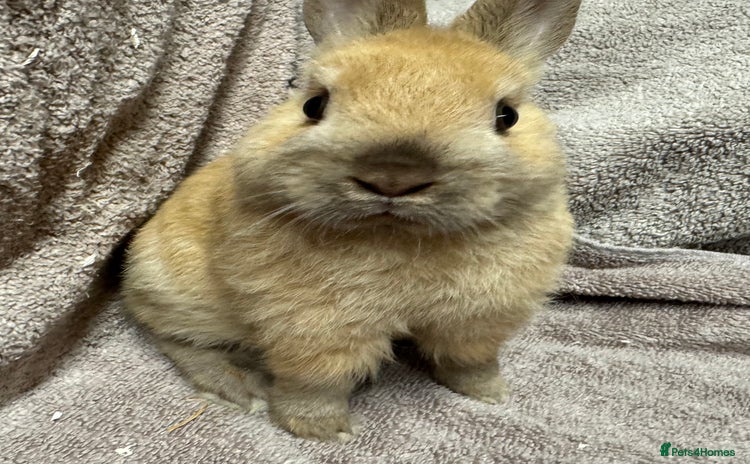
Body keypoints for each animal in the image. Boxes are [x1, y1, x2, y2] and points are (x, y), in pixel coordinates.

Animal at [122, 0, 579, 442]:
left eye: (507, 116)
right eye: (314, 104)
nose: (394, 174)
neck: (399, 235)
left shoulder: (478, 321)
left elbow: (471, 361)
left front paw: (491, 394)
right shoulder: (314, 327)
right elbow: (314, 383)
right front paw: (324, 432)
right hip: (181, 293)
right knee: (172, 337)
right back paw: (238, 387)